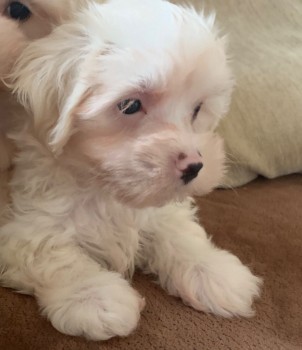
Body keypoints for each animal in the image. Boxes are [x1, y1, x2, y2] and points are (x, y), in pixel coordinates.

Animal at [0, 0, 260, 340]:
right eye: (130, 105)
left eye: (197, 109)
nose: (194, 166)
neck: (105, 189)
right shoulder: (26, 226)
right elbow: (53, 255)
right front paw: (95, 297)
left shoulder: (160, 211)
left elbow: (179, 233)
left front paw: (213, 269)